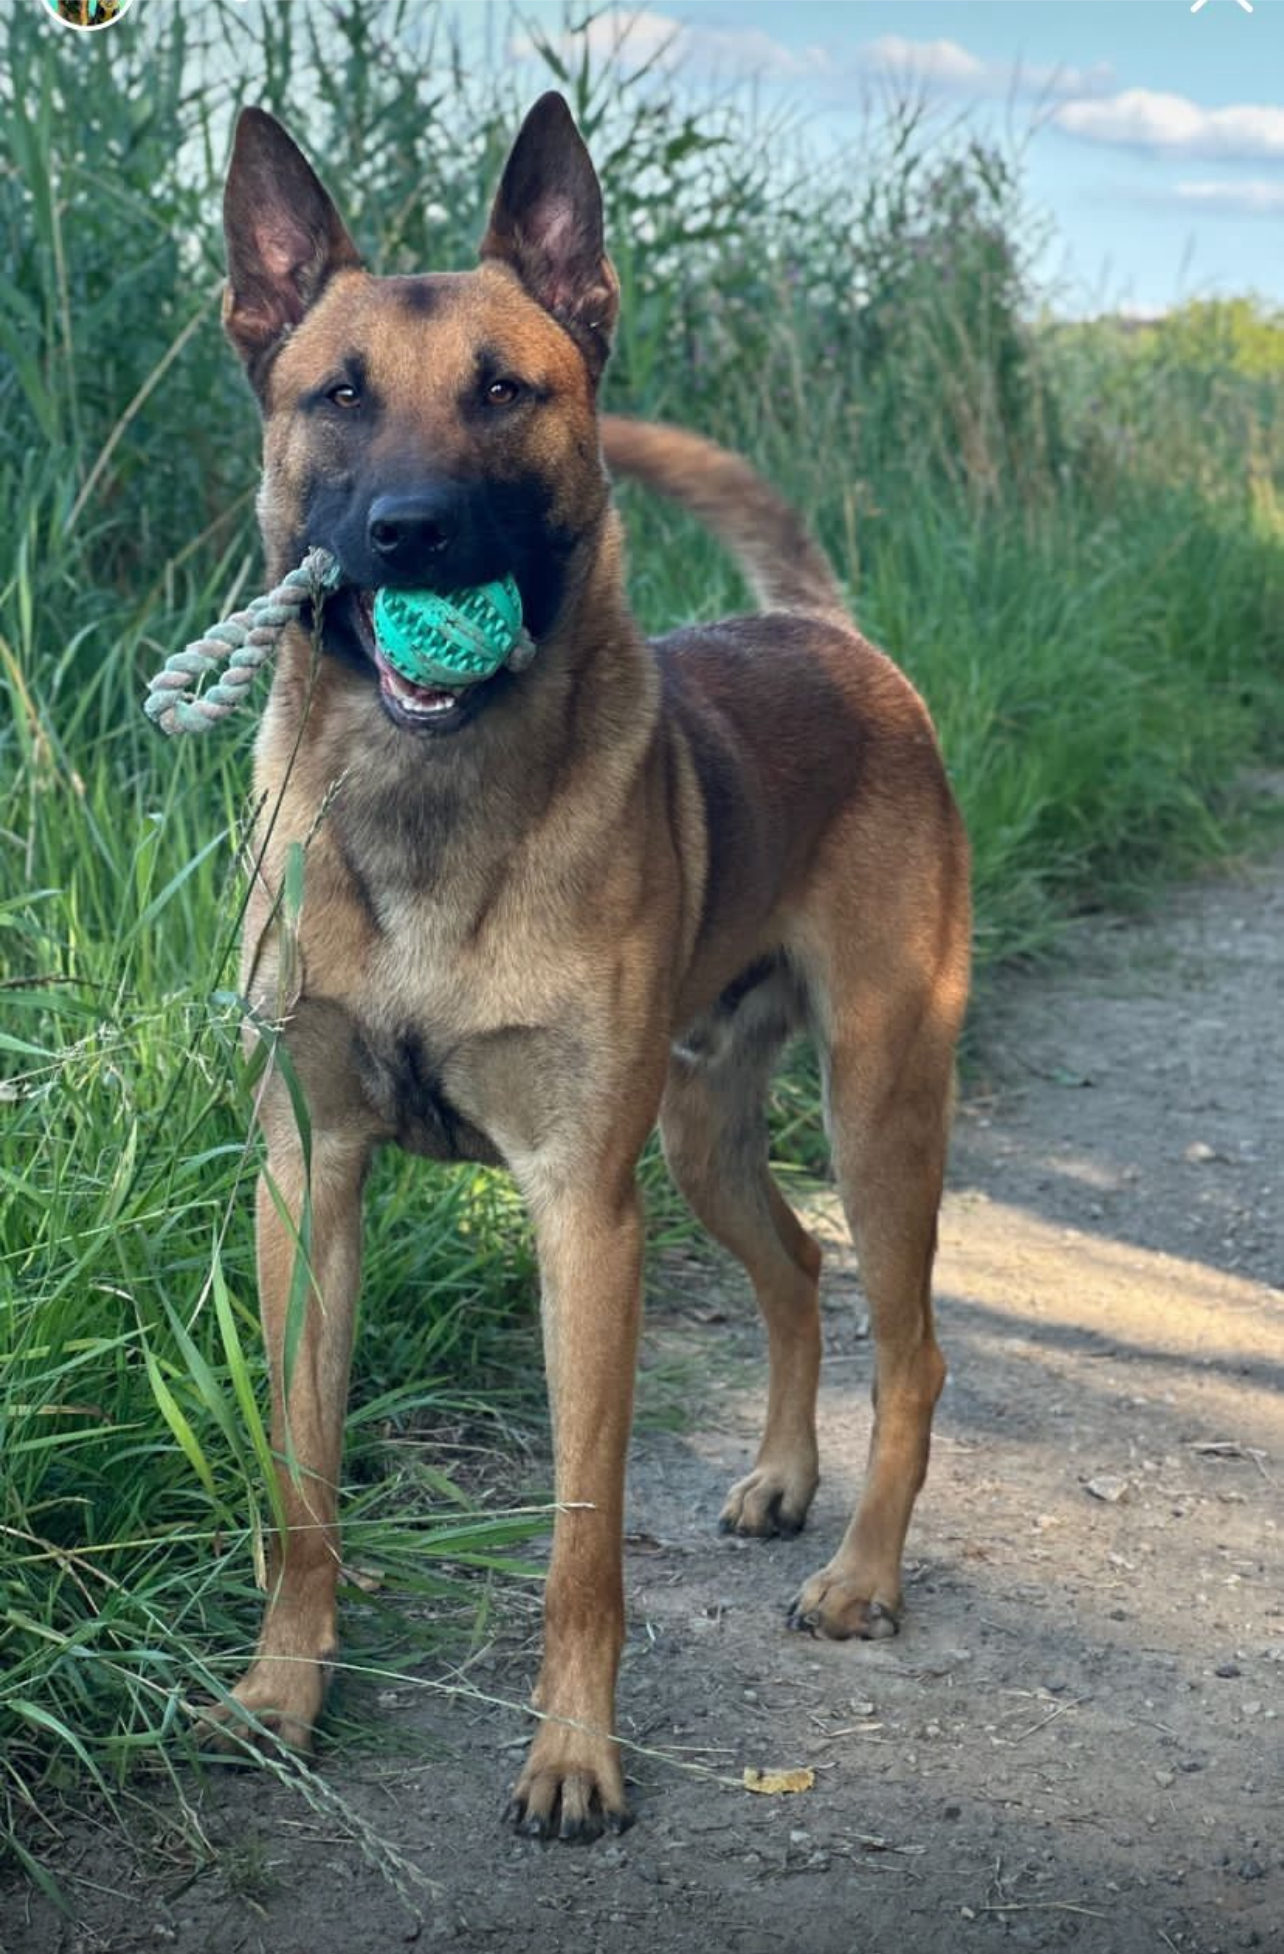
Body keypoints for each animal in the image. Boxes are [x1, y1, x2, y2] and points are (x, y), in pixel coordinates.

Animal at [212, 92, 970, 1843]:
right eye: (337, 396)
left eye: (508, 390)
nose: (410, 531)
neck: (428, 805)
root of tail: (839, 640)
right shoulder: (312, 1180)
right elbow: (300, 1478)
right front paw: (286, 1688)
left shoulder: (583, 1211)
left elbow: (580, 1535)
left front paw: (573, 1753)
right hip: (700, 1141)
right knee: (799, 1272)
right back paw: (783, 1477)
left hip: (879, 1110)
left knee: (910, 1348)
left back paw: (862, 1570)